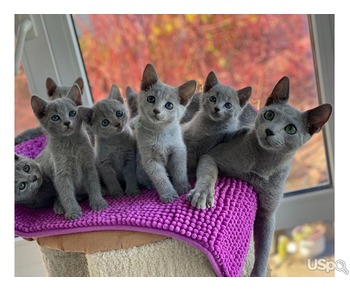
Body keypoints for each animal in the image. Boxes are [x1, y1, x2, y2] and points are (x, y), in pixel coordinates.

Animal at [31, 83, 108, 220]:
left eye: (72, 113)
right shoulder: (61, 173)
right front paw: (72, 211)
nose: (67, 122)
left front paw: (98, 202)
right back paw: (60, 206)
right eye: (55, 117)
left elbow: (93, 184)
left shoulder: (89, 166)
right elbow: (66, 193)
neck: (70, 144)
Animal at [135, 63, 197, 203]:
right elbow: (161, 179)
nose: (156, 110)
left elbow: (180, 171)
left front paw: (182, 187)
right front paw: (168, 194)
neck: (159, 134)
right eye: (151, 99)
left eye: (169, 105)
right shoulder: (149, 159)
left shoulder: (178, 150)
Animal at [187, 76, 332, 276]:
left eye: (291, 129)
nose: (269, 131)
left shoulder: (268, 213)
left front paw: (258, 274)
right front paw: (202, 195)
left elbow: (264, 249)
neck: (260, 166)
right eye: (269, 115)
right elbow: (208, 175)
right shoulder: (212, 156)